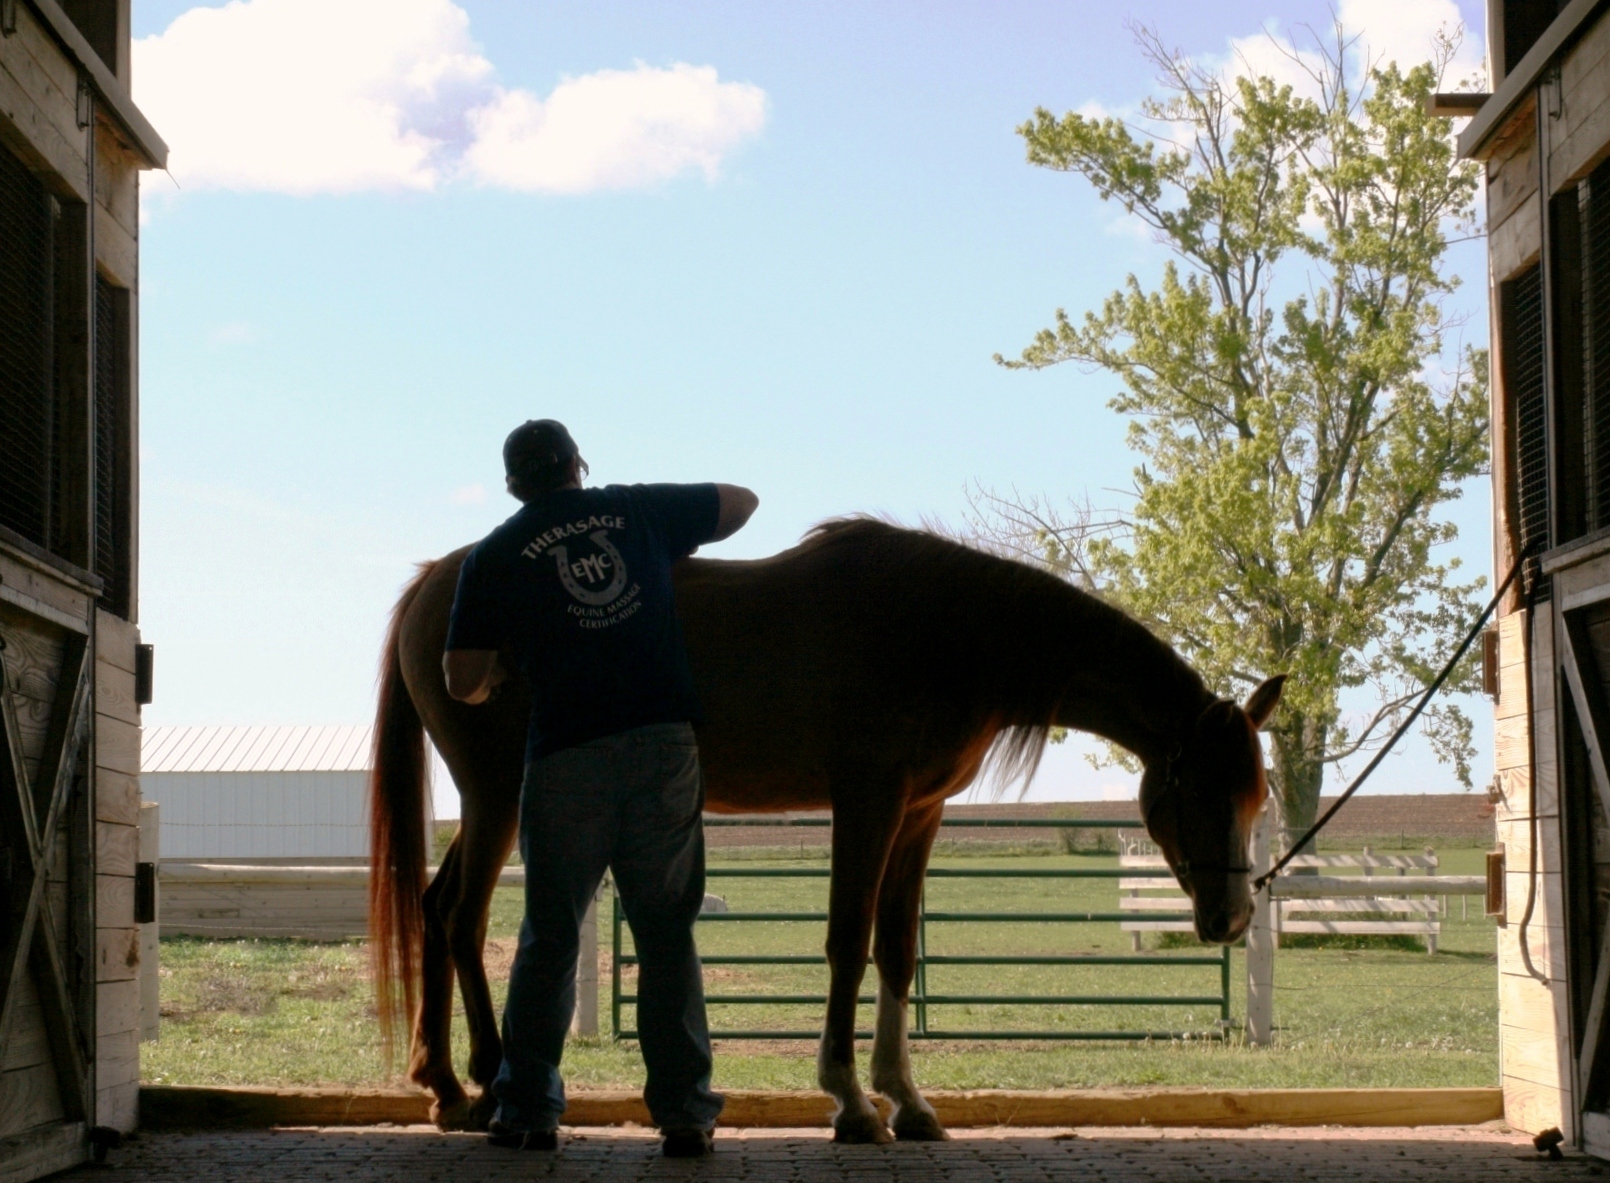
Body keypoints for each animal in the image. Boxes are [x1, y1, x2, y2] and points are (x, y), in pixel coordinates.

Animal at [368, 518, 1283, 1141]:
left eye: (1255, 796)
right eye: (1201, 788)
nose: (1234, 916)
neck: (947, 630)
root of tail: (432, 583)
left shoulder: (918, 812)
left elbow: (894, 950)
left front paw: (907, 1099)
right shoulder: (869, 799)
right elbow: (847, 942)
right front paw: (850, 1100)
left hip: (494, 800)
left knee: (437, 905)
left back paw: (445, 1087)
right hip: (499, 794)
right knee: (462, 916)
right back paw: (485, 1080)